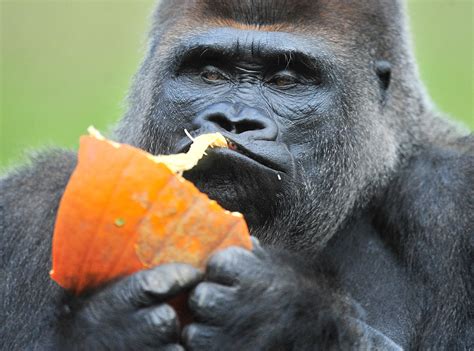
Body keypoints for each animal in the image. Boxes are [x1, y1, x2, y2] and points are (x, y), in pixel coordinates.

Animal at [0, 0, 474, 350]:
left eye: (286, 80)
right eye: (210, 72)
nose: (234, 120)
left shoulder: (452, 197)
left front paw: (286, 318)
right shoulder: (25, 208)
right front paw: (105, 329)